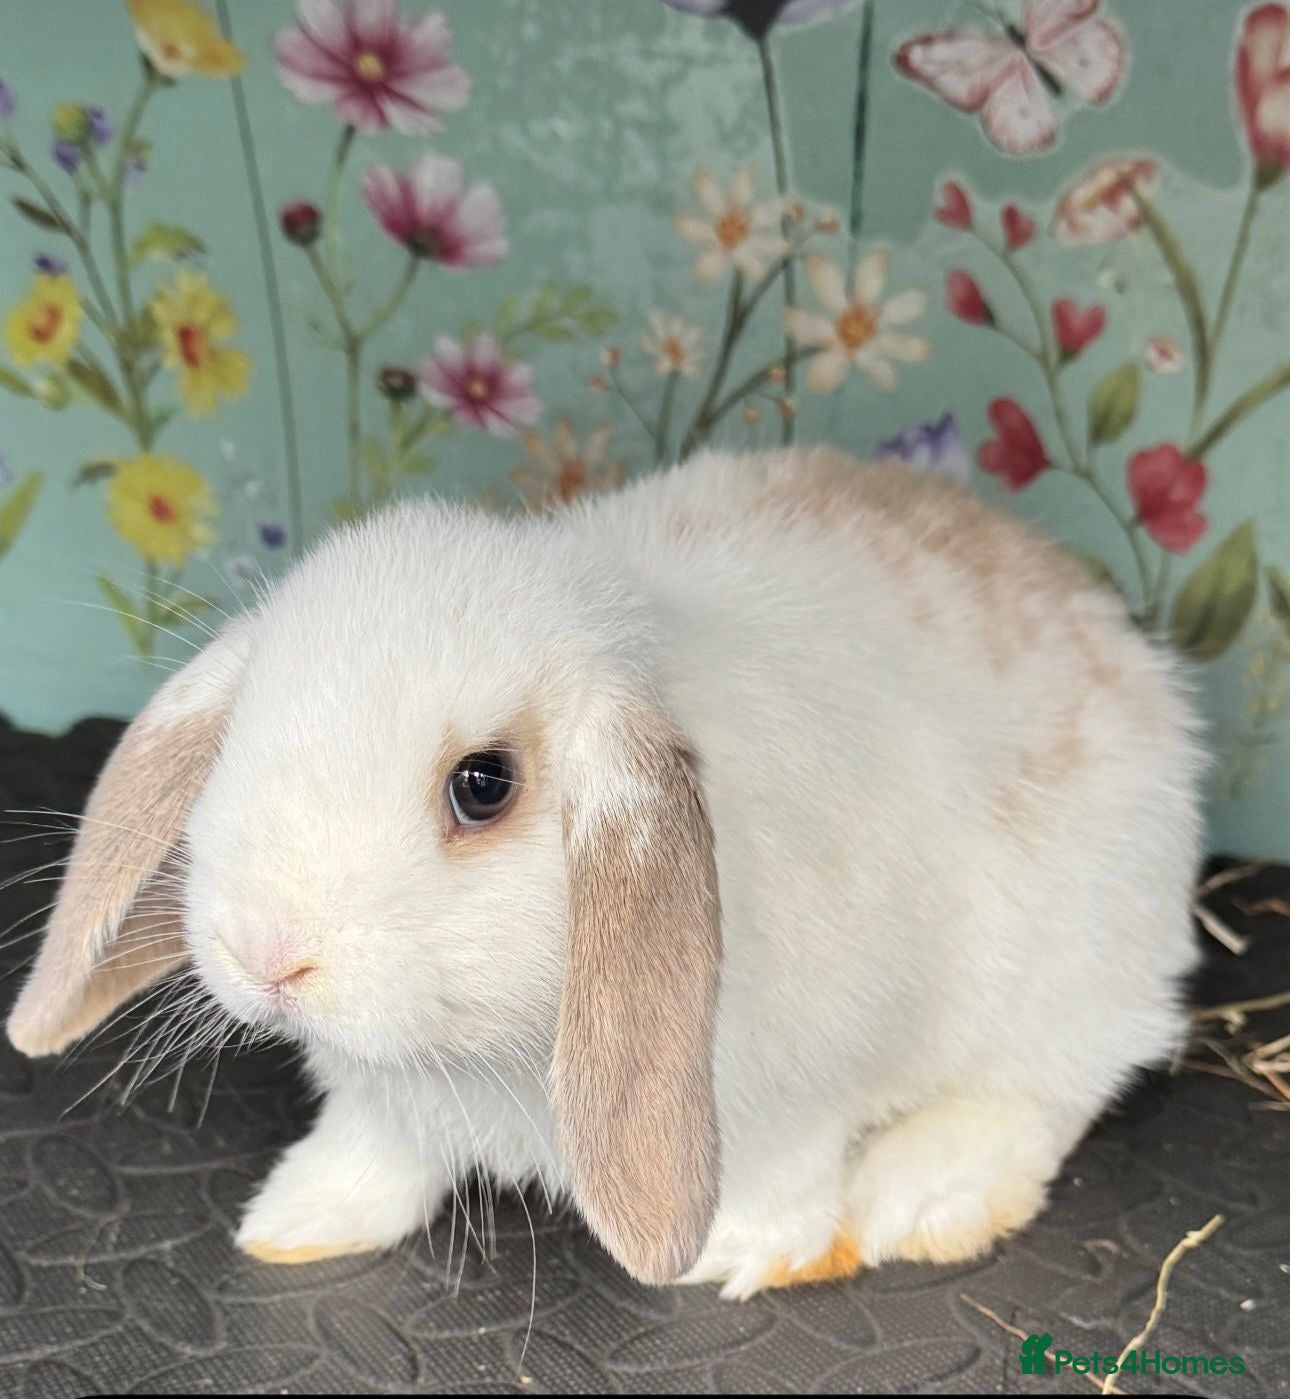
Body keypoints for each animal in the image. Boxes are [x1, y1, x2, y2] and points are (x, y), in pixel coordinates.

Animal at [6, 445, 1205, 1299]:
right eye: (242, 731)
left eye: (483, 784)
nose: (267, 950)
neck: (484, 1046)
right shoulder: (384, 1101)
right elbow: (373, 1151)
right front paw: (295, 1222)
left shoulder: (800, 1086)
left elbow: (786, 1175)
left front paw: (745, 1255)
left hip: (1072, 972)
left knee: (1050, 1089)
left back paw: (922, 1199)